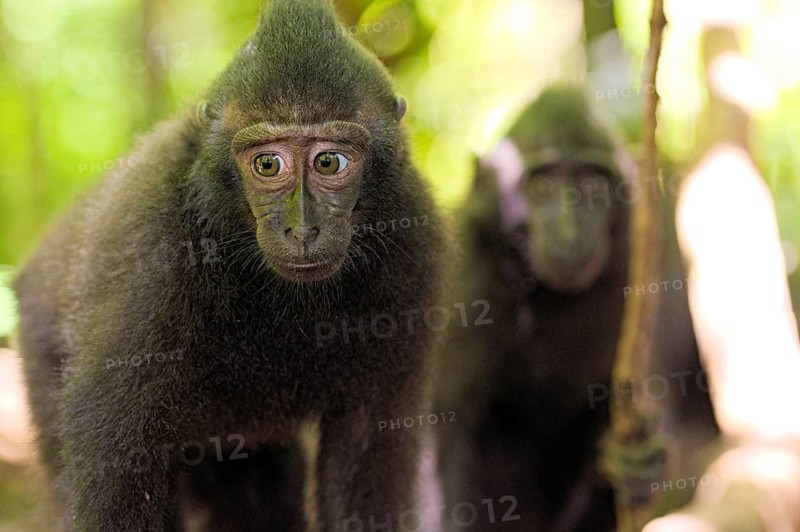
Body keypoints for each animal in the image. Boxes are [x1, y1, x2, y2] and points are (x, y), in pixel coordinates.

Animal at [13, 1, 449, 530]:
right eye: (267, 165)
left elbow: (367, 447)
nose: (302, 230)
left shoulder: (416, 243)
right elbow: (119, 465)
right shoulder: (152, 249)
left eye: (329, 162)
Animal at [433, 86, 717, 531]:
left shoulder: (639, 269)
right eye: (542, 187)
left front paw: (640, 461)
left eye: (592, 187)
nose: (569, 232)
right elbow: (451, 422)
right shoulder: (463, 276)